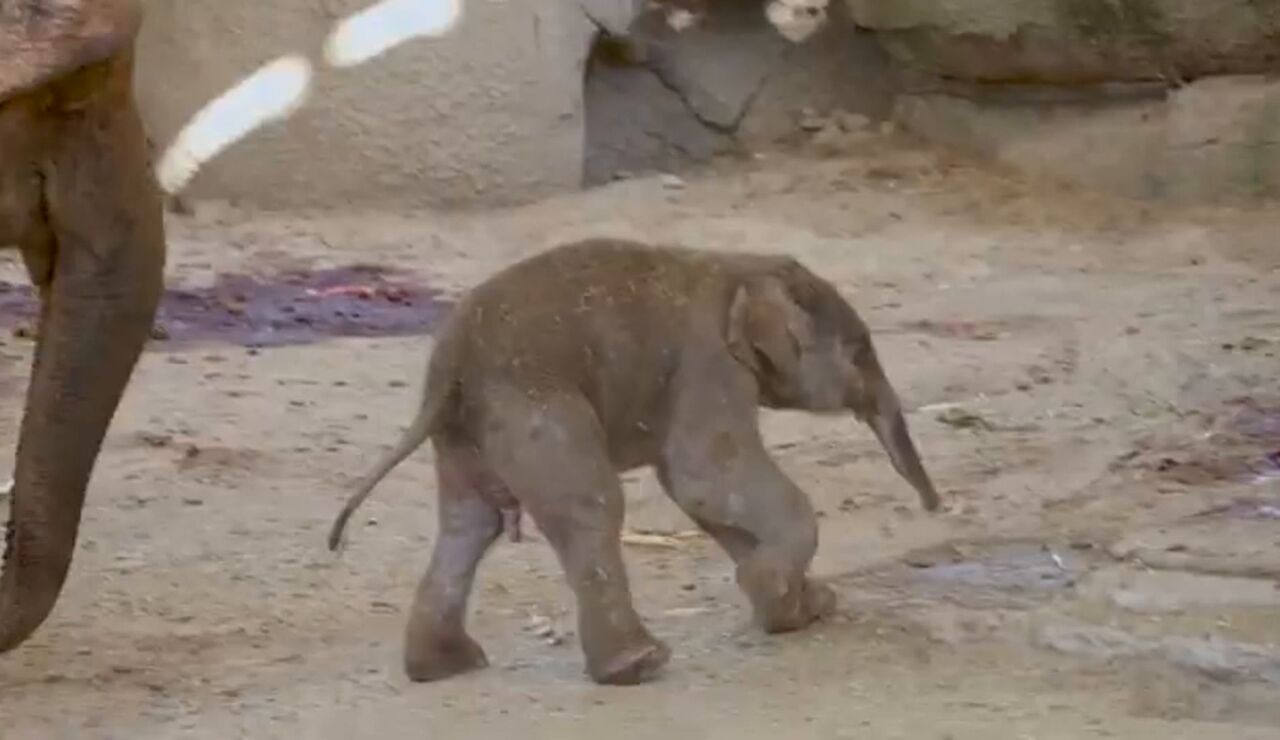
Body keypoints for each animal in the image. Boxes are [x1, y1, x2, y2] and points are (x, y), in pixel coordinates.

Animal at [328, 238, 941, 686]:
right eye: (859, 351)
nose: (933, 508)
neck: (742, 266)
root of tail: (448, 368)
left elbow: (707, 498)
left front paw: (796, 606)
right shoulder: (706, 362)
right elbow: (702, 478)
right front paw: (776, 592)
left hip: (468, 432)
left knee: (469, 525)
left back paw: (445, 667)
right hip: (535, 407)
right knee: (589, 508)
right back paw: (639, 666)